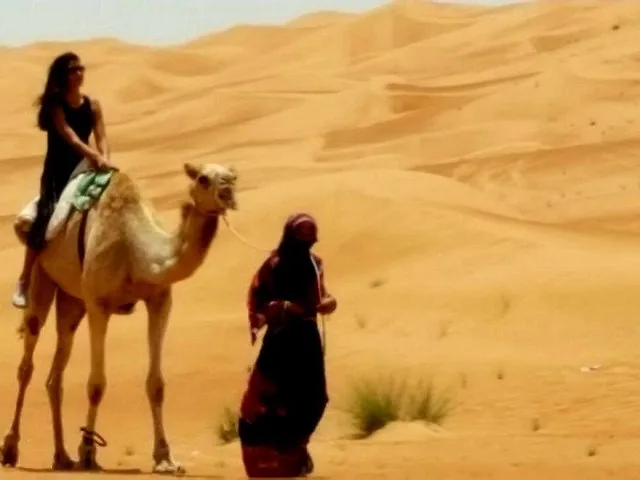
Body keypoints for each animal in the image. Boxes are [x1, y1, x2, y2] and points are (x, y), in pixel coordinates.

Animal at [0, 161, 238, 474]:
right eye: (202, 179)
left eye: (233, 176)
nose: (228, 192)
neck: (135, 248)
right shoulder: (98, 304)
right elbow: (96, 385)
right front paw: (88, 453)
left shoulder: (160, 299)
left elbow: (156, 385)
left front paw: (165, 458)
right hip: (42, 275)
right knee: (27, 362)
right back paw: (11, 449)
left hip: (72, 299)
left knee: (56, 372)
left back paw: (62, 456)